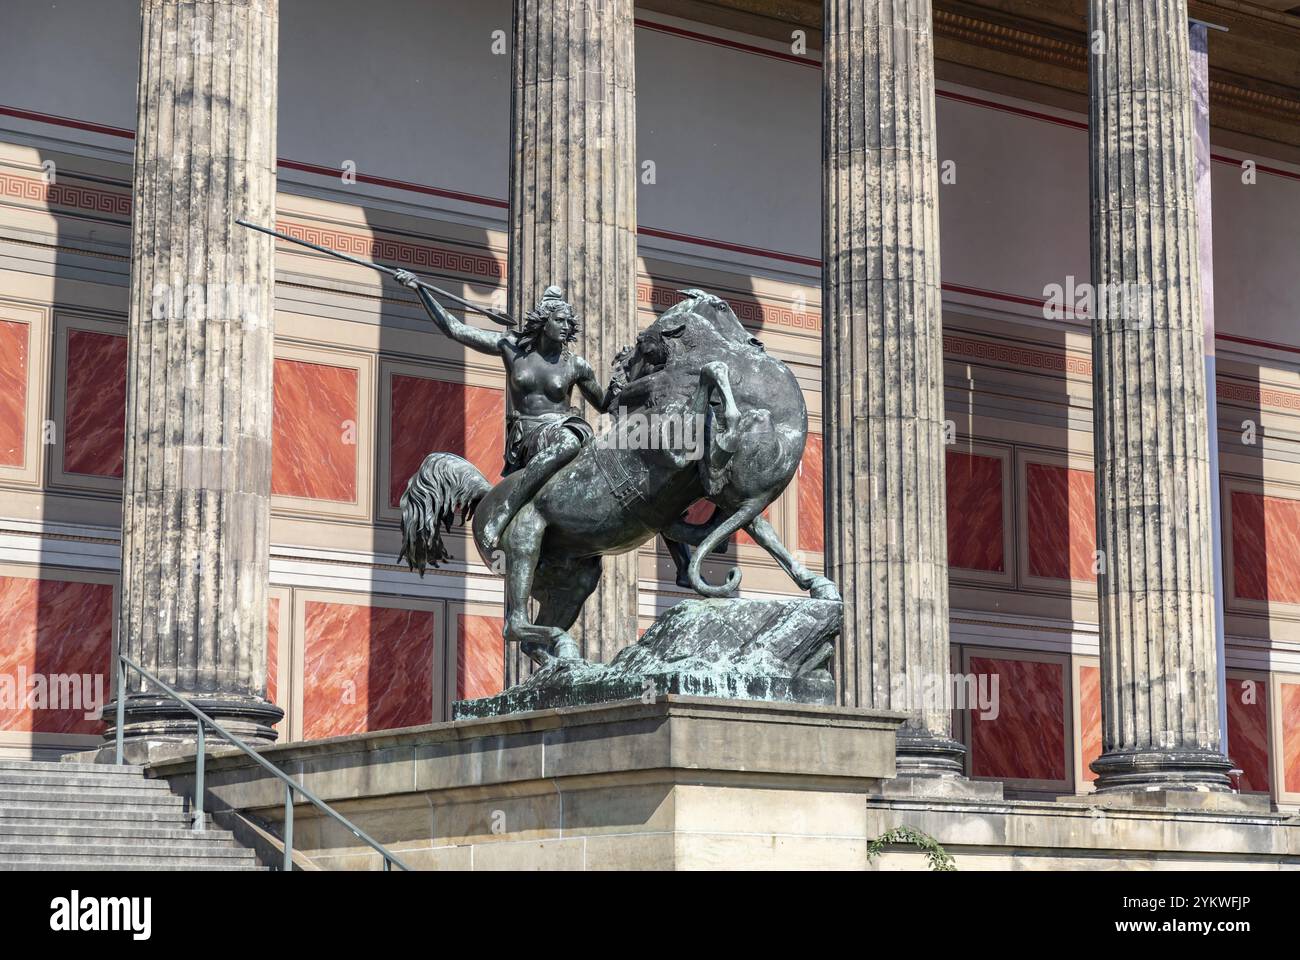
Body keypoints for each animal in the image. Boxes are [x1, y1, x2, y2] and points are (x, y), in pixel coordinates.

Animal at [400, 290, 837, 666]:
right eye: (722, 307)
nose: (754, 341)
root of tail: (485, 496)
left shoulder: (724, 494)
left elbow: (765, 534)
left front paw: (819, 585)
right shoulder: (679, 451)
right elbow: (711, 386)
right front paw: (726, 411)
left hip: (574, 576)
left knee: (530, 635)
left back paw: (566, 666)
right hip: (524, 542)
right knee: (513, 624)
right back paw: (564, 649)